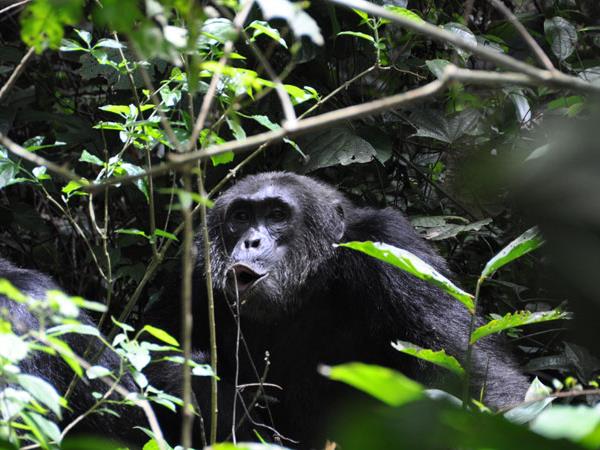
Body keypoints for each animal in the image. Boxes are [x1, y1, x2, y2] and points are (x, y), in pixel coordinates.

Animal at [148, 171, 528, 446]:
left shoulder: (395, 249)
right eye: (240, 217)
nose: (251, 241)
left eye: (277, 215)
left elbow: (475, 374)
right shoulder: (191, 270)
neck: (312, 281)